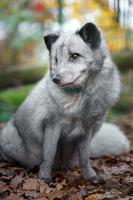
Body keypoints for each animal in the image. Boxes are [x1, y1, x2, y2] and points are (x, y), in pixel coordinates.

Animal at [0, 22, 130, 182]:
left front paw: (90, 177)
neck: (82, 100)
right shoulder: (52, 125)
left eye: (74, 56)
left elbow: (85, 157)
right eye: (56, 59)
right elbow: (48, 155)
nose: (55, 79)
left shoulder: (87, 129)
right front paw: (44, 178)